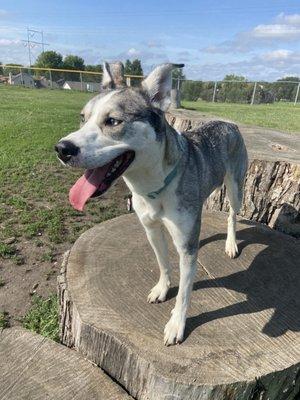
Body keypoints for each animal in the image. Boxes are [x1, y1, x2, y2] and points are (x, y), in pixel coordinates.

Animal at [55, 61, 248, 346]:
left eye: (112, 121)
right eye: (83, 117)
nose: (62, 148)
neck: (152, 187)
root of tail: (229, 123)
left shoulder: (186, 245)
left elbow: (185, 292)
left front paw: (176, 325)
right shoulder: (151, 229)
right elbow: (163, 263)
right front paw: (162, 289)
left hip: (235, 187)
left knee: (232, 215)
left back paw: (231, 244)